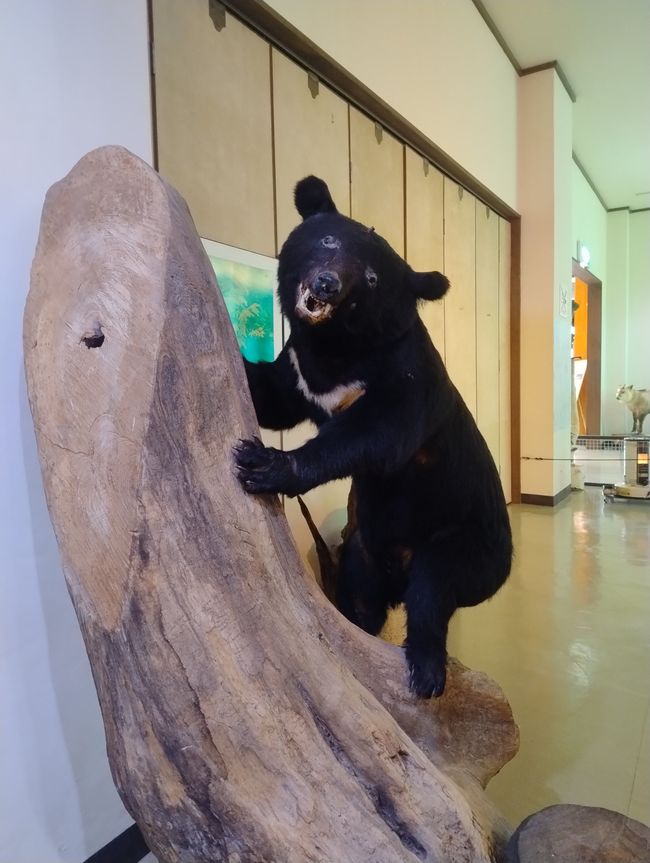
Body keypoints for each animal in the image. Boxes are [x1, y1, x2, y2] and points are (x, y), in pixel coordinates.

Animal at [234, 176, 513, 698]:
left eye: (371, 279)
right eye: (328, 241)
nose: (327, 284)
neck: (335, 347)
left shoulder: (406, 375)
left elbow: (379, 433)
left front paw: (265, 464)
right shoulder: (298, 371)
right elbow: (271, 396)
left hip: (466, 548)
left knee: (431, 592)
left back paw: (427, 671)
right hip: (360, 551)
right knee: (362, 604)